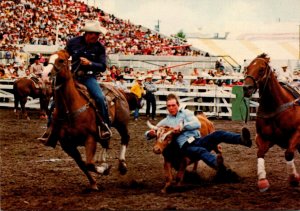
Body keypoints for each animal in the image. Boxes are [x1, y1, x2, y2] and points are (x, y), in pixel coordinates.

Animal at [46, 50, 130, 190]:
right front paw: (94, 183)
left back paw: (122, 165)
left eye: (61, 60)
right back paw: (102, 160)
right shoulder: (67, 145)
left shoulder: (90, 138)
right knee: (106, 141)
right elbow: (83, 165)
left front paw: (104, 169)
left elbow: (89, 163)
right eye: (48, 59)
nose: (46, 74)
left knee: (125, 138)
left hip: (121, 124)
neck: (70, 110)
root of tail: (118, 91)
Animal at [243, 53, 298, 192]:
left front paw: (294, 178)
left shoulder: (297, 134)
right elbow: (260, 153)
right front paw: (262, 181)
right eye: (247, 68)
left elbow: (289, 154)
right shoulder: (264, 138)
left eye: (261, 69)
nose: (246, 88)